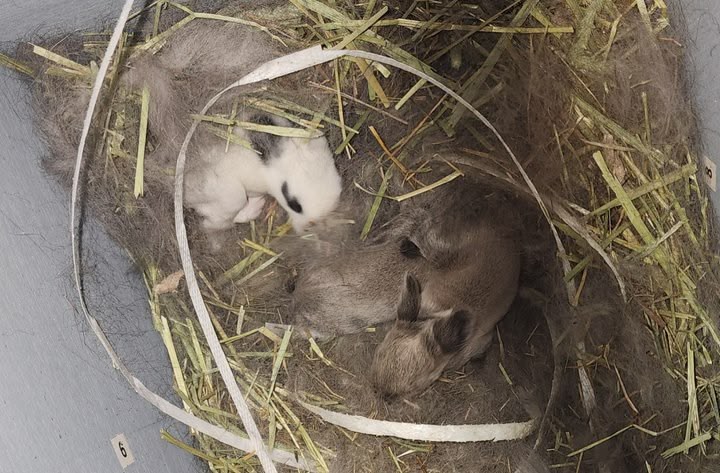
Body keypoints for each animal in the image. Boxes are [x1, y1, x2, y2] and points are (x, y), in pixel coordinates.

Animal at [370, 209, 521, 398]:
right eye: (378, 354)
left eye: (413, 386)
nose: (382, 395)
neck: (432, 317)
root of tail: (506, 238)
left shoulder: (482, 342)